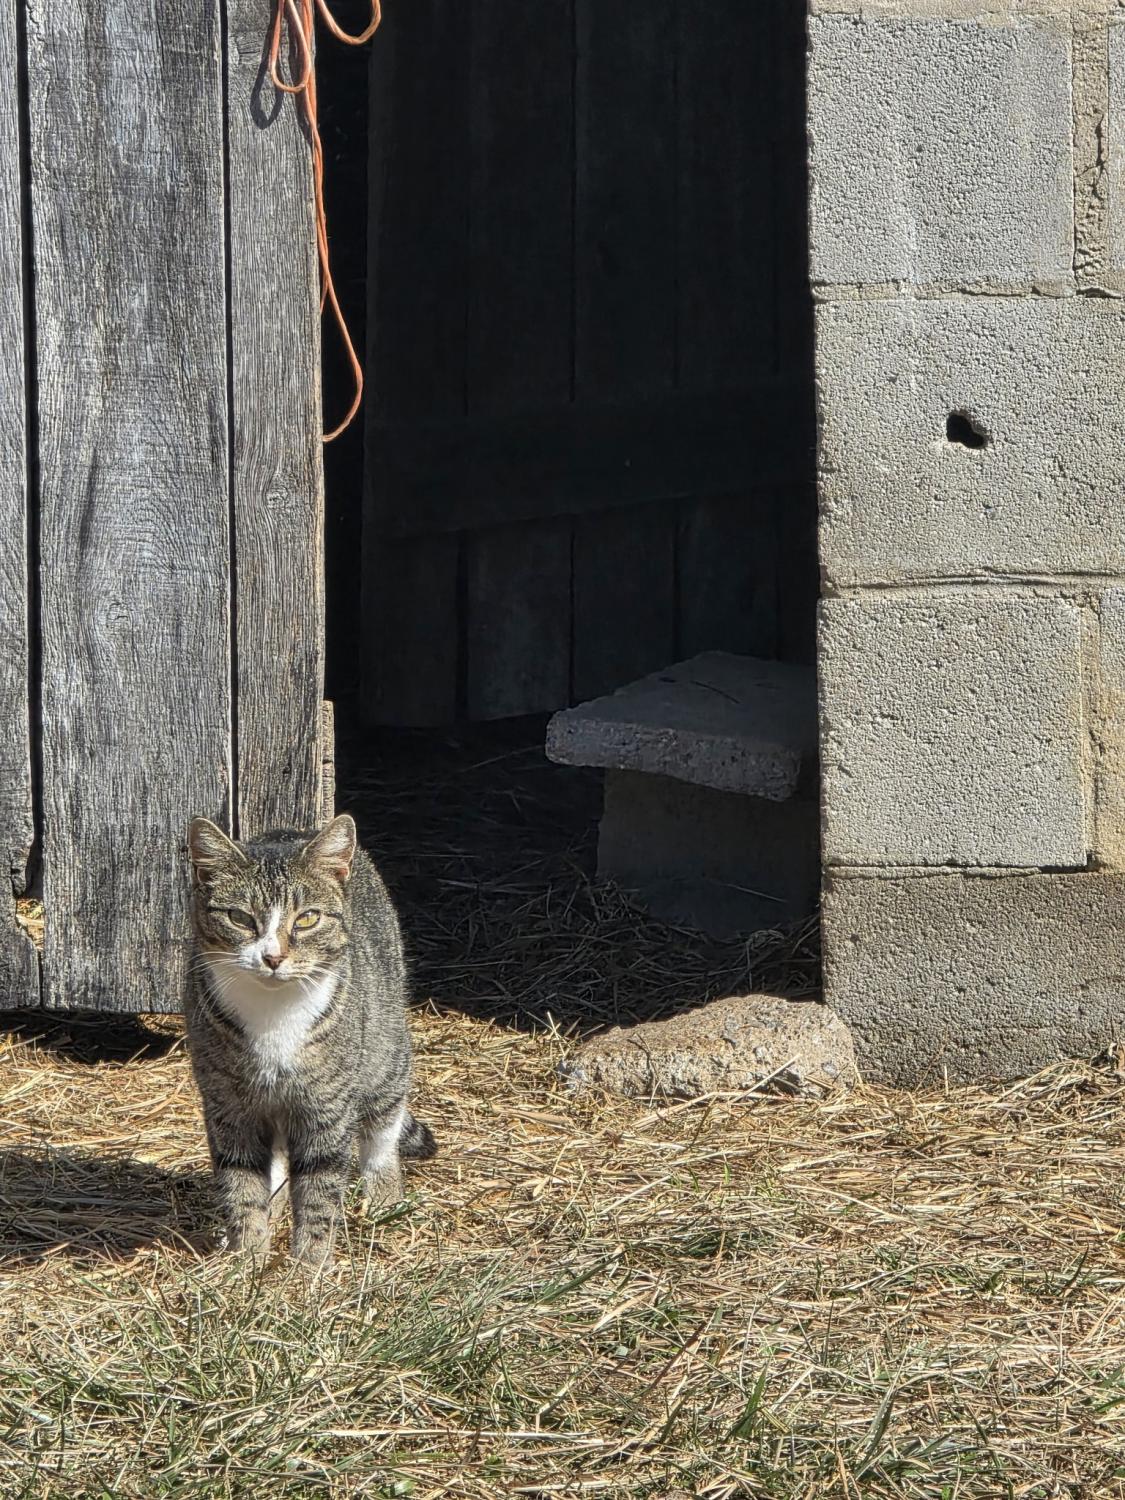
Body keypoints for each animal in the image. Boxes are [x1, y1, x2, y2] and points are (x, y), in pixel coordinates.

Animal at [184, 812, 435, 1266]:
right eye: (240, 918)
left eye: (306, 919)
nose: (272, 957)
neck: (273, 1015)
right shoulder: (227, 1105)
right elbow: (241, 1181)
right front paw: (247, 1258)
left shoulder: (327, 1107)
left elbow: (320, 1186)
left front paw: (308, 1266)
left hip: (384, 1056)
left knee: (382, 1132)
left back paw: (385, 1198)